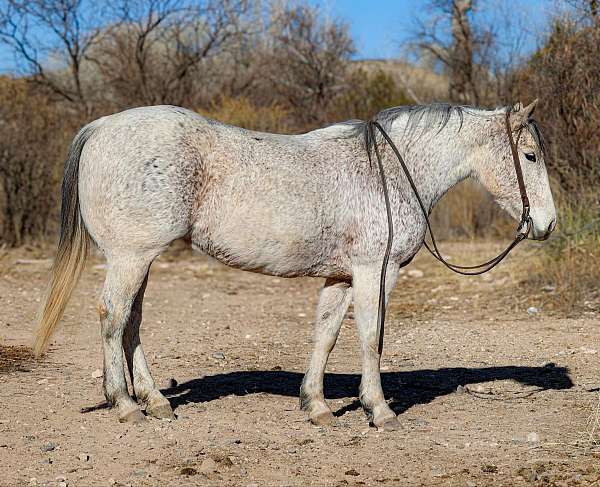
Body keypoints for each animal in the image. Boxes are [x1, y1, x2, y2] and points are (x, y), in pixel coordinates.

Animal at [35, 101, 556, 428]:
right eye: (529, 156)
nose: (547, 224)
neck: (387, 171)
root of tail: (101, 127)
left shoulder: (341, 277)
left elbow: (325, 336)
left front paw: (317, 406)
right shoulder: (375, 272)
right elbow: (371, 337)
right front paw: (379, 410)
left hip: (140, 260)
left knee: (132, 323)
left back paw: (157, 402)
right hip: (131, 257)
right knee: (113, 317)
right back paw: (125, 405)